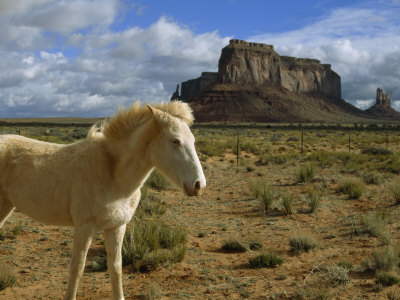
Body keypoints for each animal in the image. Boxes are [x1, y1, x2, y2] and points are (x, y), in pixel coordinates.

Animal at [0, 102, 206, 298]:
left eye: (193, 140)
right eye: (175, 140)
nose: (199, 185)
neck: (112, 171)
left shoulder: (117, 226)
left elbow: (115, 268)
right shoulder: (84, 227)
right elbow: (77, 268)